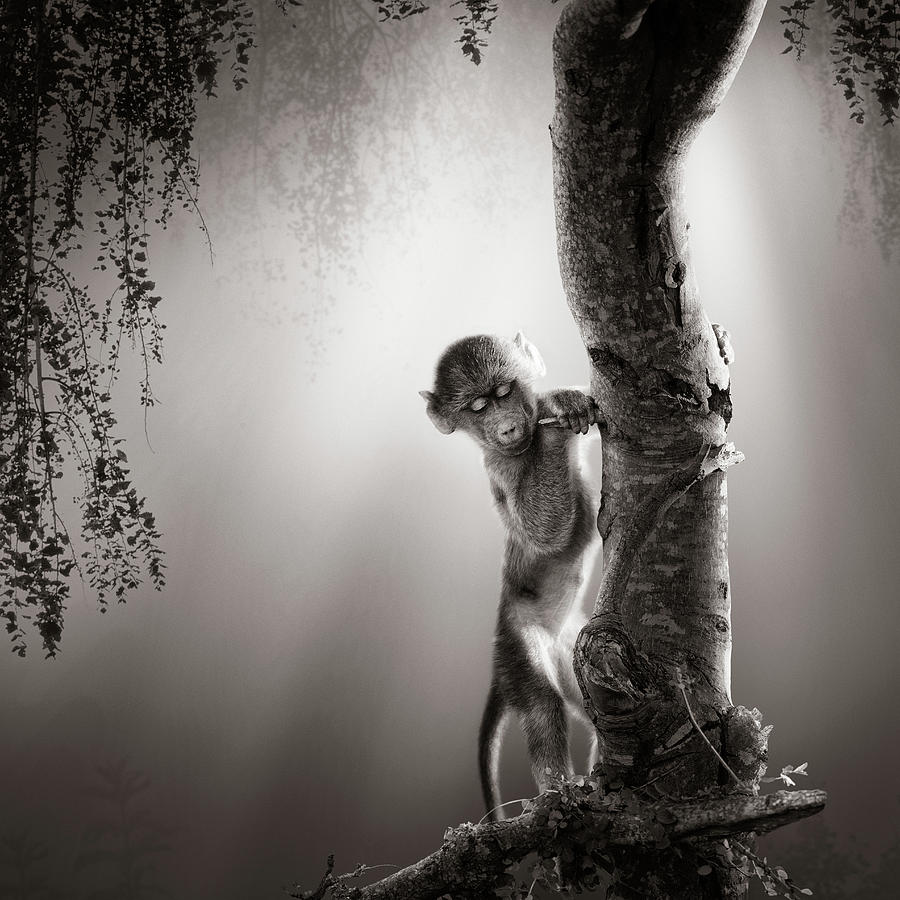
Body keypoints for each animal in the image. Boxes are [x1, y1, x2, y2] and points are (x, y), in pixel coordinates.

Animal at [420, 332, 601, 822]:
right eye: (478, 407)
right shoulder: (500, 467)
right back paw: (561, 791)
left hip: (571, 646)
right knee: (542, 703)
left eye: (503, 393)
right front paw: (556, 412)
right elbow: (545, 530)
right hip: (518, 643)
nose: (506, 428)